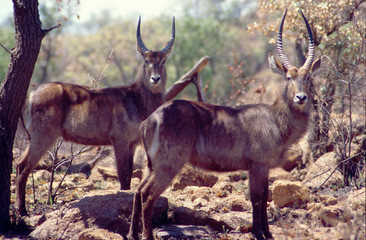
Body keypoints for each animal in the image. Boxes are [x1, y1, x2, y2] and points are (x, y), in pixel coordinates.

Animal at [15, 16, 203, 216]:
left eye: (164, 60)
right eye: (146, 60)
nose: (155, 79)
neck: (135, 99)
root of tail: (31, 94)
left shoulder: (132, 144)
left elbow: (128, 176)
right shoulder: (119, 141)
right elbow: (123, 176)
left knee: (20, 166)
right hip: (42, 137)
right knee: (22, 165)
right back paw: (22, 211)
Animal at [127, 9, 322, 240]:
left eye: (308, 77)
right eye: (288, 77)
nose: (301, 98)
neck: (275, 119)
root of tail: (150, 119)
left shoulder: (264, 166)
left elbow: (265, 196)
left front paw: (268, 233)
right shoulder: (257, 164)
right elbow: (257, 198)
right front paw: (258, 233)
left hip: (151, 165)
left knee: (138, 191)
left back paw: (132, 234)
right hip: (167, 165)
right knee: (148, 195)